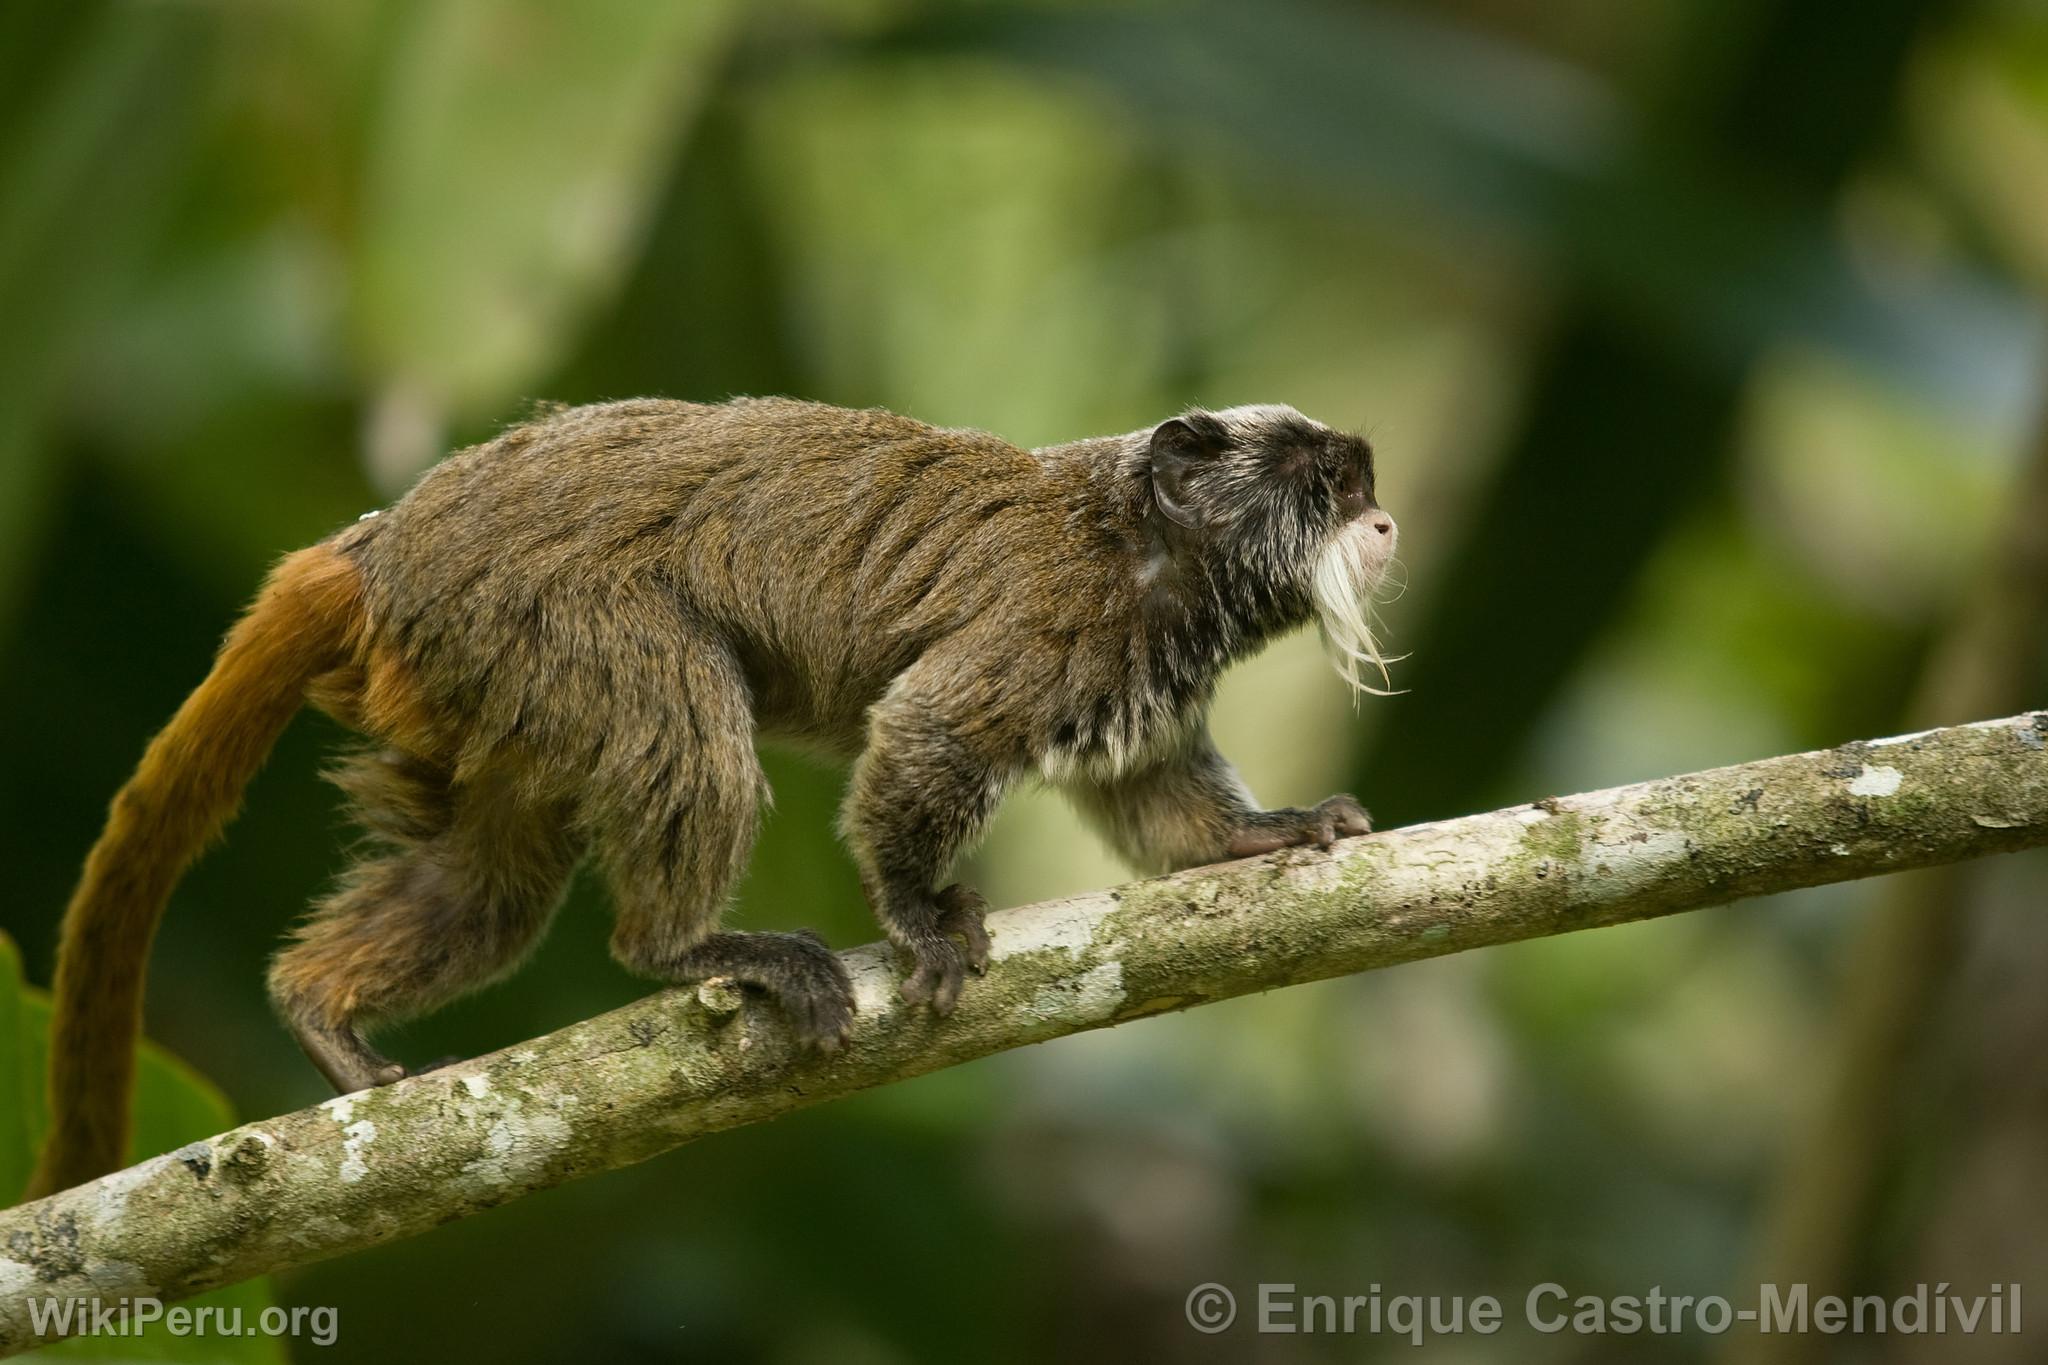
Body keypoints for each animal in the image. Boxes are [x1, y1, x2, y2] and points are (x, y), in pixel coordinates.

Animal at [32, 394, 1400, 1195]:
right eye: (1328, 489)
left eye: (1363, 488)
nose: (1386, 526)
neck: (1154, 553)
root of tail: (384, 542)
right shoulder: (1058, 619)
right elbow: (924, 733)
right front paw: (919, 918)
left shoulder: (1136, 670)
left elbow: (1158, 802)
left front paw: (1264, 835)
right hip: (542, 611)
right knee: (684, 720)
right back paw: (686, 947)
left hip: (475, 671)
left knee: (491, 887)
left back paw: (324, 1010)